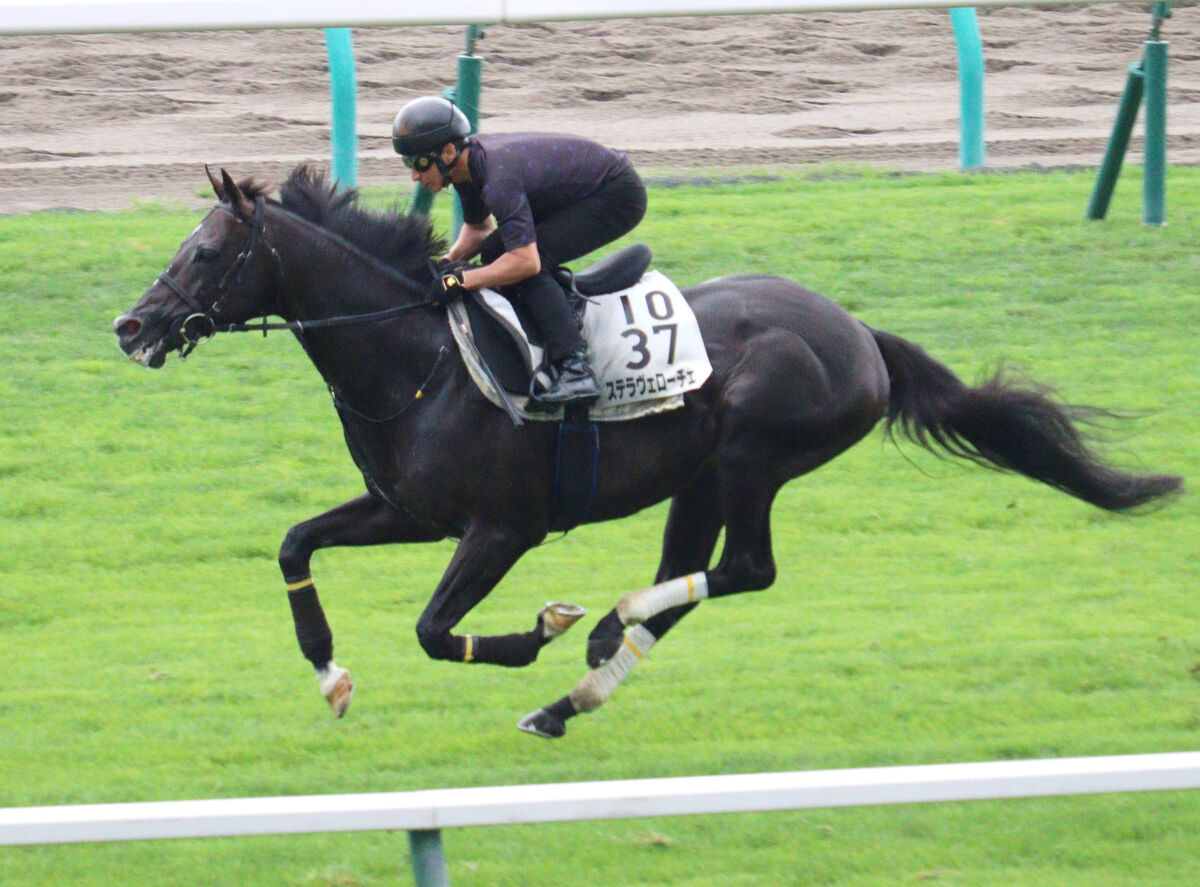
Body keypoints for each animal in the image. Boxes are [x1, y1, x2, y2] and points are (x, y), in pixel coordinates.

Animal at [112, 164, 1180, 734]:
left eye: (207, 253)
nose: (132, 326)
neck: (419, 355)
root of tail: (860, 333)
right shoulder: (407, 511)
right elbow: (295, 542)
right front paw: (328, 670)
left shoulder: (502, 527)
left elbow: (431, 629)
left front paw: (541, 627)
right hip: (698, 476)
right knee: (699, 577)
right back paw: (573, 693)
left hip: (754, 454)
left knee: (743, 569)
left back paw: (599, 629)